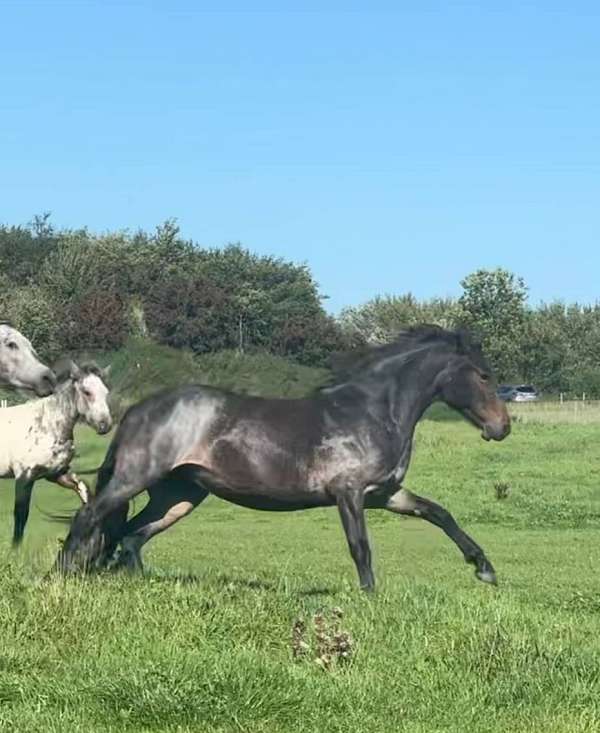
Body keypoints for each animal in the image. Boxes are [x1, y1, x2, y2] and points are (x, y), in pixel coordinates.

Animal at [0, 361, 112, 546]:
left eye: (106, 392)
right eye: (87, 392)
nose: (105, 425)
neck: (47, 424)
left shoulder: (55, 474)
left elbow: (83, 489)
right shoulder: (24, 477)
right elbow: (21, 516)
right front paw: (16, 548)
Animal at [57, 326, 511, 589]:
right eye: (483, 375)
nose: (502, 427)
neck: (374, 411)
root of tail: (138, 409)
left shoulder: (384, 494)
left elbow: (439, 513)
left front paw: (484, 568)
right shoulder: (349, 492)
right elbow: (360, 547)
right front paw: (370, 597)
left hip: (180, 496)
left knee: (130, 535)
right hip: (137, 478)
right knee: (92, 517)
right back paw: (63, 574)